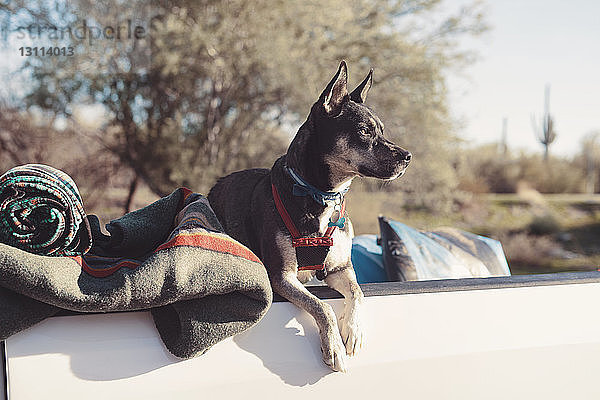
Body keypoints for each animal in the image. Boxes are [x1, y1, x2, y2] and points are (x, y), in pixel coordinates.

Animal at [209, 61, 410, 372]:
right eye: (364, 131)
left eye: (381, 130)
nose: (408, 156)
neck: (321, 195)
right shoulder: (281, 277)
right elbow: (322, 306)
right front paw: (334, 346)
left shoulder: (340, 268)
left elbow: (358, 292)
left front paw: (353, 331)